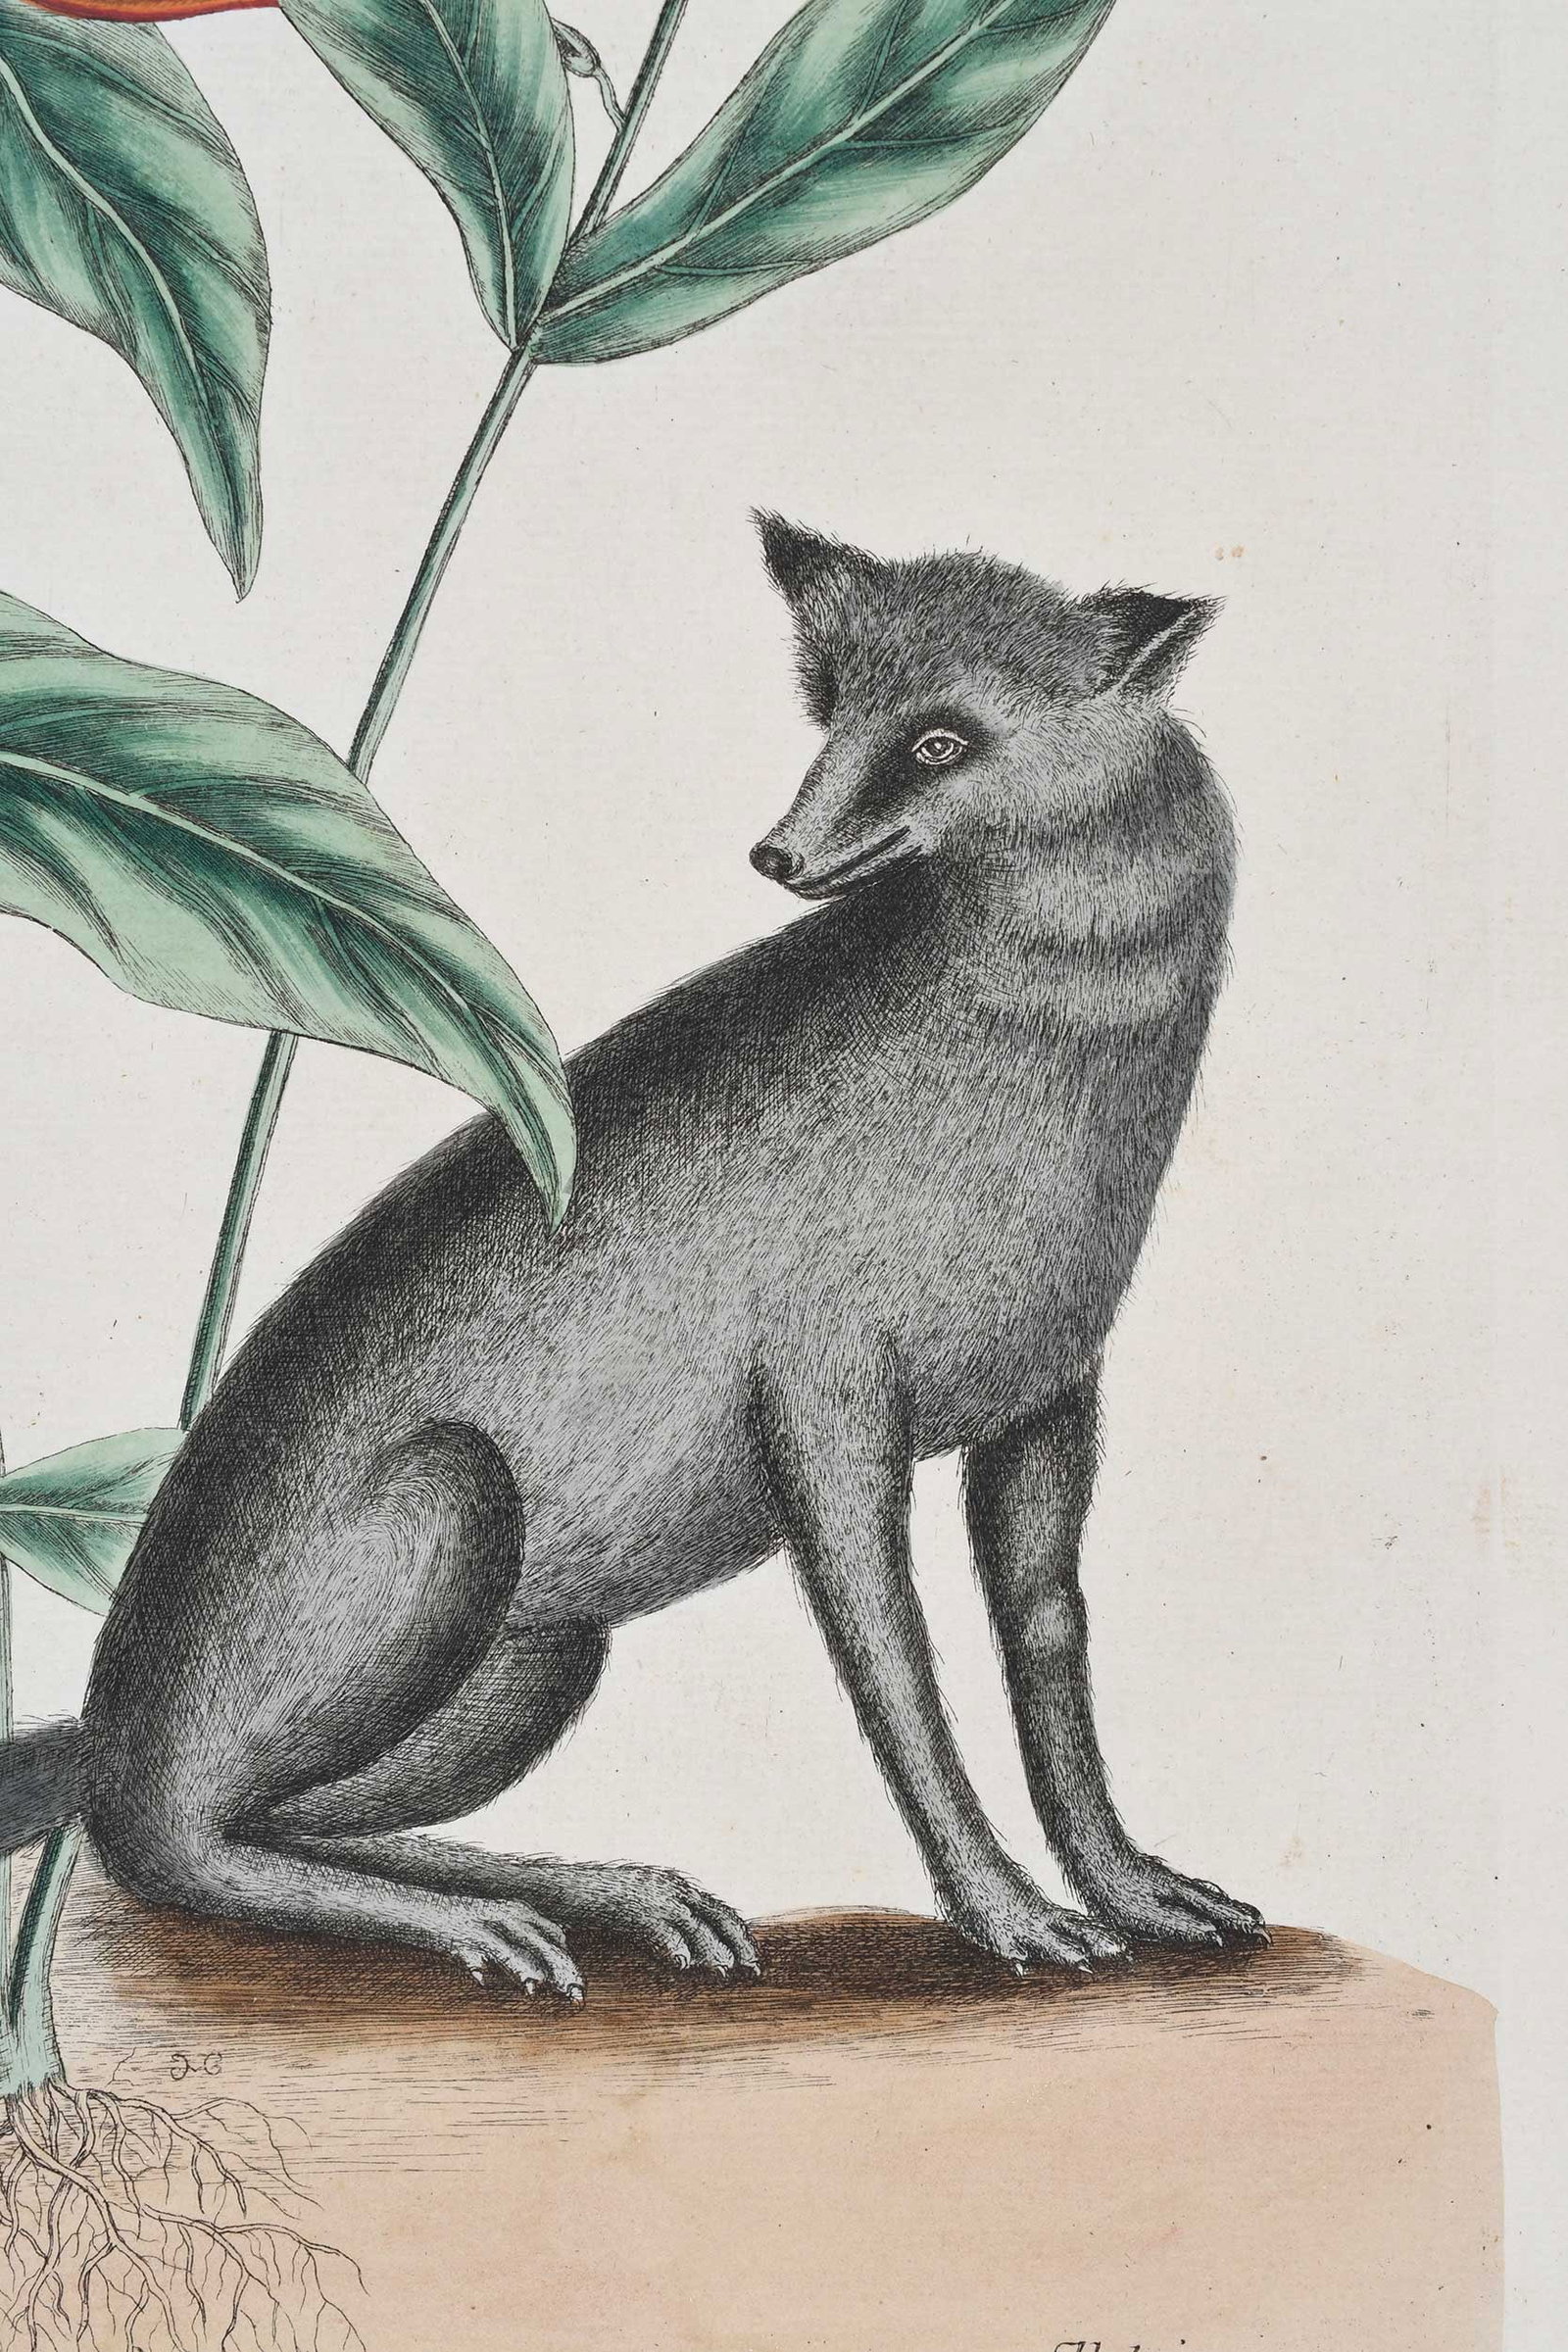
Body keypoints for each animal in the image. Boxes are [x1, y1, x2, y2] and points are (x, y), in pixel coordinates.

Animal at [0, 515, 1267, 1998]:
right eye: (830, 707)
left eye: (941, 740)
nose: (779, 853)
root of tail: (108, 1713)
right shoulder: (824, 1396)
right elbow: (893, 1663)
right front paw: (1009, 1916)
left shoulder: (1051, 1396)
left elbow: (1051, 1637)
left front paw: (1134, 1887)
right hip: (452, 1504)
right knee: (167, 1839)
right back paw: (488, 1923)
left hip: (540, 1657)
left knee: (268, 1818)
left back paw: (612, 1894)